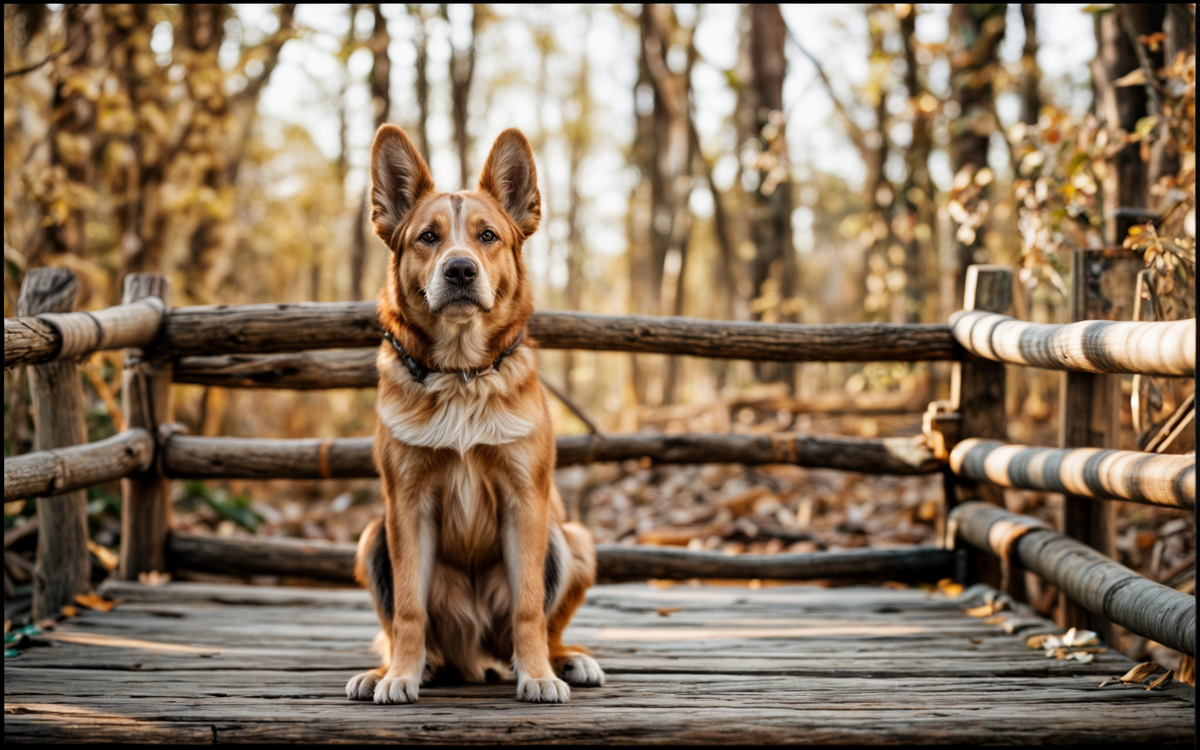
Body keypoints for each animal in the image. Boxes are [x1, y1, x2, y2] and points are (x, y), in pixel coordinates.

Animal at [345, 126, 609, 705]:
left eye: (487, 236)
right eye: (428, 237)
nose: (460, 269)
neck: (462, 374)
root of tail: (474, 653)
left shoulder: (524, 500)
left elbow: (529, 608)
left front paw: (537, 674)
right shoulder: (407, 504)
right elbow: (409, 610)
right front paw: (400, 674)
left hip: (571, 539)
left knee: (546, 625)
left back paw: (563, 659)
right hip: (373, 536)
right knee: (401, 624)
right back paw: (397, 667)